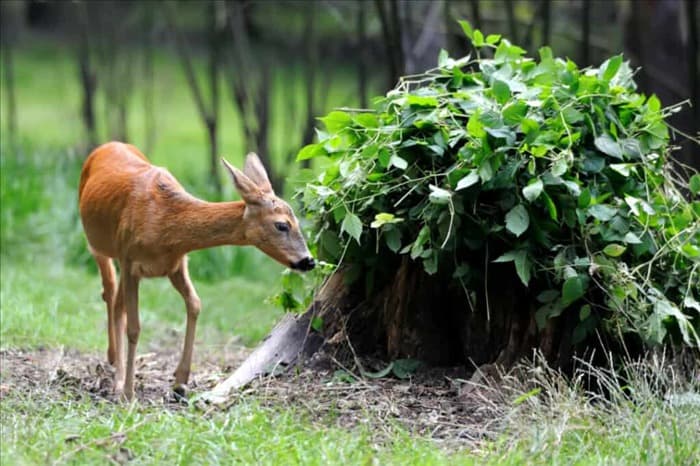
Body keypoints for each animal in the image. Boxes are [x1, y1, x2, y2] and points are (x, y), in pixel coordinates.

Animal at [78, 142, 314, 400]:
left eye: (298, 222)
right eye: (282, 225)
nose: (308, 261)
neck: (163, 224)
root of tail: (108, 144)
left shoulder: (176, 264)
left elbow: (195, 303)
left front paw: (180, 381)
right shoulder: (131, 261)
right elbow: (134, 327)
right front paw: (128, 392)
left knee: (116, 301)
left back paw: (114, 363)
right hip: (98, 244)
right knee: (109, 290)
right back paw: (116, 372)